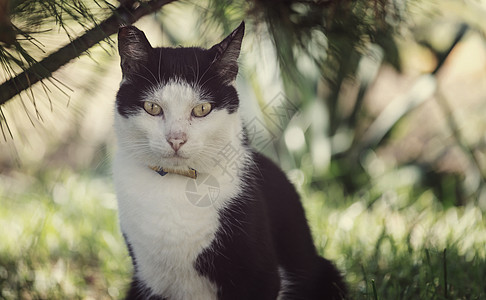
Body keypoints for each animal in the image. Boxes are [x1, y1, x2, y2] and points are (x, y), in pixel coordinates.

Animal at [113, 21, 346, 300]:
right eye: (152, 107)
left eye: (202, 109)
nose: (176, 139)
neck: (177, 185)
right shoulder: (149, 280)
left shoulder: (261, 277)